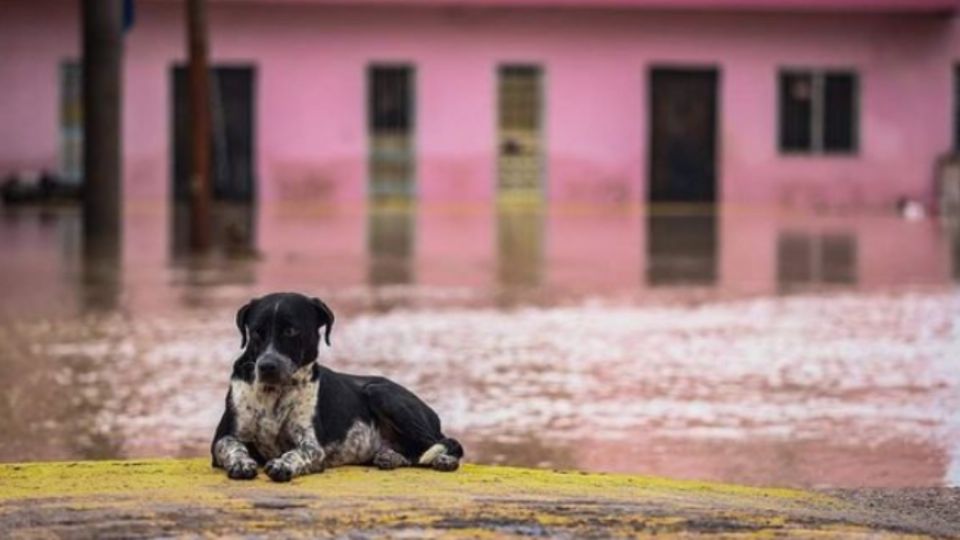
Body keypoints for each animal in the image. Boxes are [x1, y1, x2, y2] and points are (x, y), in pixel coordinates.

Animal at [211, 294, 464, 484]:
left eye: (291, 331)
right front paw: (241, 462)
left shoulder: (312, 445)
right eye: (256, 332)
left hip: (381, 392)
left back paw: (445, 460)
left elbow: (299, 452)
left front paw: (283, 463)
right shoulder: (223, 438)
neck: (274, 393)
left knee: (444, 442)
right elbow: (232, 446)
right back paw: (390, 457)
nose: (267, 366)